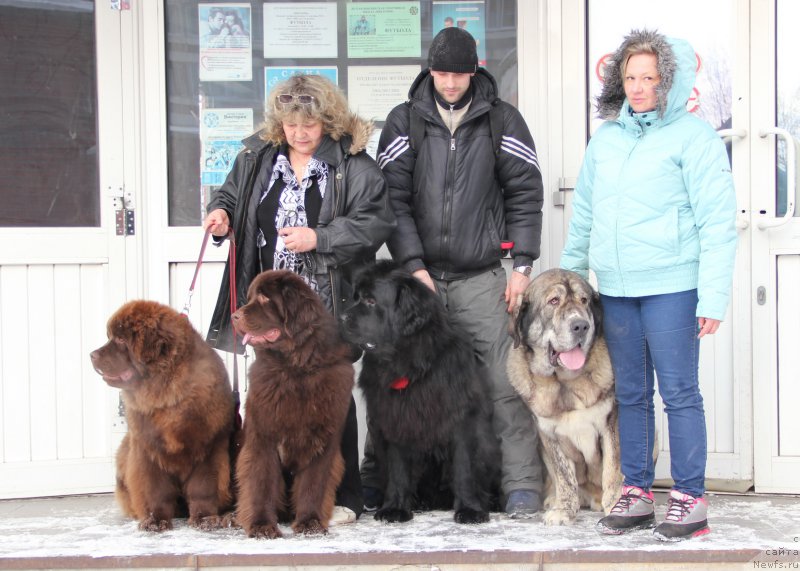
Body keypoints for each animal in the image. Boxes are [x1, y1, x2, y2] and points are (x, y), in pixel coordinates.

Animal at [90, 302, 236, 536]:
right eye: (110, 337)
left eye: (121, 340)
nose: (92, 355)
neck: (168, 395)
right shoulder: (147, 449)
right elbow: (154, 489)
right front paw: (155, 521)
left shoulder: (209, 448)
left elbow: (203, 487)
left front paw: (204, 519)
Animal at [233, 270, 354, 540]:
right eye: (250, 297)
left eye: (265, 299)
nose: (235, 316)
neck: (295, 369)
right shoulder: (263, 437)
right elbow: (261, 482)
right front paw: (262, 526)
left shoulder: (324, 440)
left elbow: (313, 484)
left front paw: (310, 522)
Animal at [340, 262, 500, 524]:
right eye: (356, 297)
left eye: (371, 301)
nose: (341, 317)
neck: (413, 364)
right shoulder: (396, 418)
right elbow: (398, 469)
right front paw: (395, 508)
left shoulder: (462, 420)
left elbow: (464, 467)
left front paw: (470, 510)